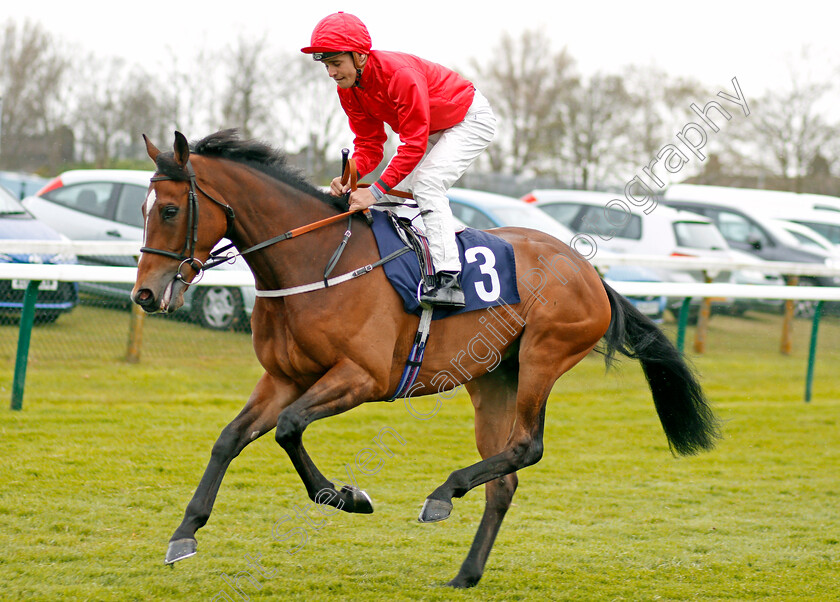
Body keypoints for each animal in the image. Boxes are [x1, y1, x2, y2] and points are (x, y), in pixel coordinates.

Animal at [133, 129, 720, 584]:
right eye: (143, 209)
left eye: (170, 209)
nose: (145, 293)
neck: (313, 263)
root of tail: (589, 272)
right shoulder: (282, 377)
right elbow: (230, 438)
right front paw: (184, 534)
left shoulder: (362, 377)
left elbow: (289, 428)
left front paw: (345, 496)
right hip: (493, 379)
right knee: (505, 478)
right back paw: (466, 572)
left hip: (543, 358)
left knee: (527, 447)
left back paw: (444, 492)